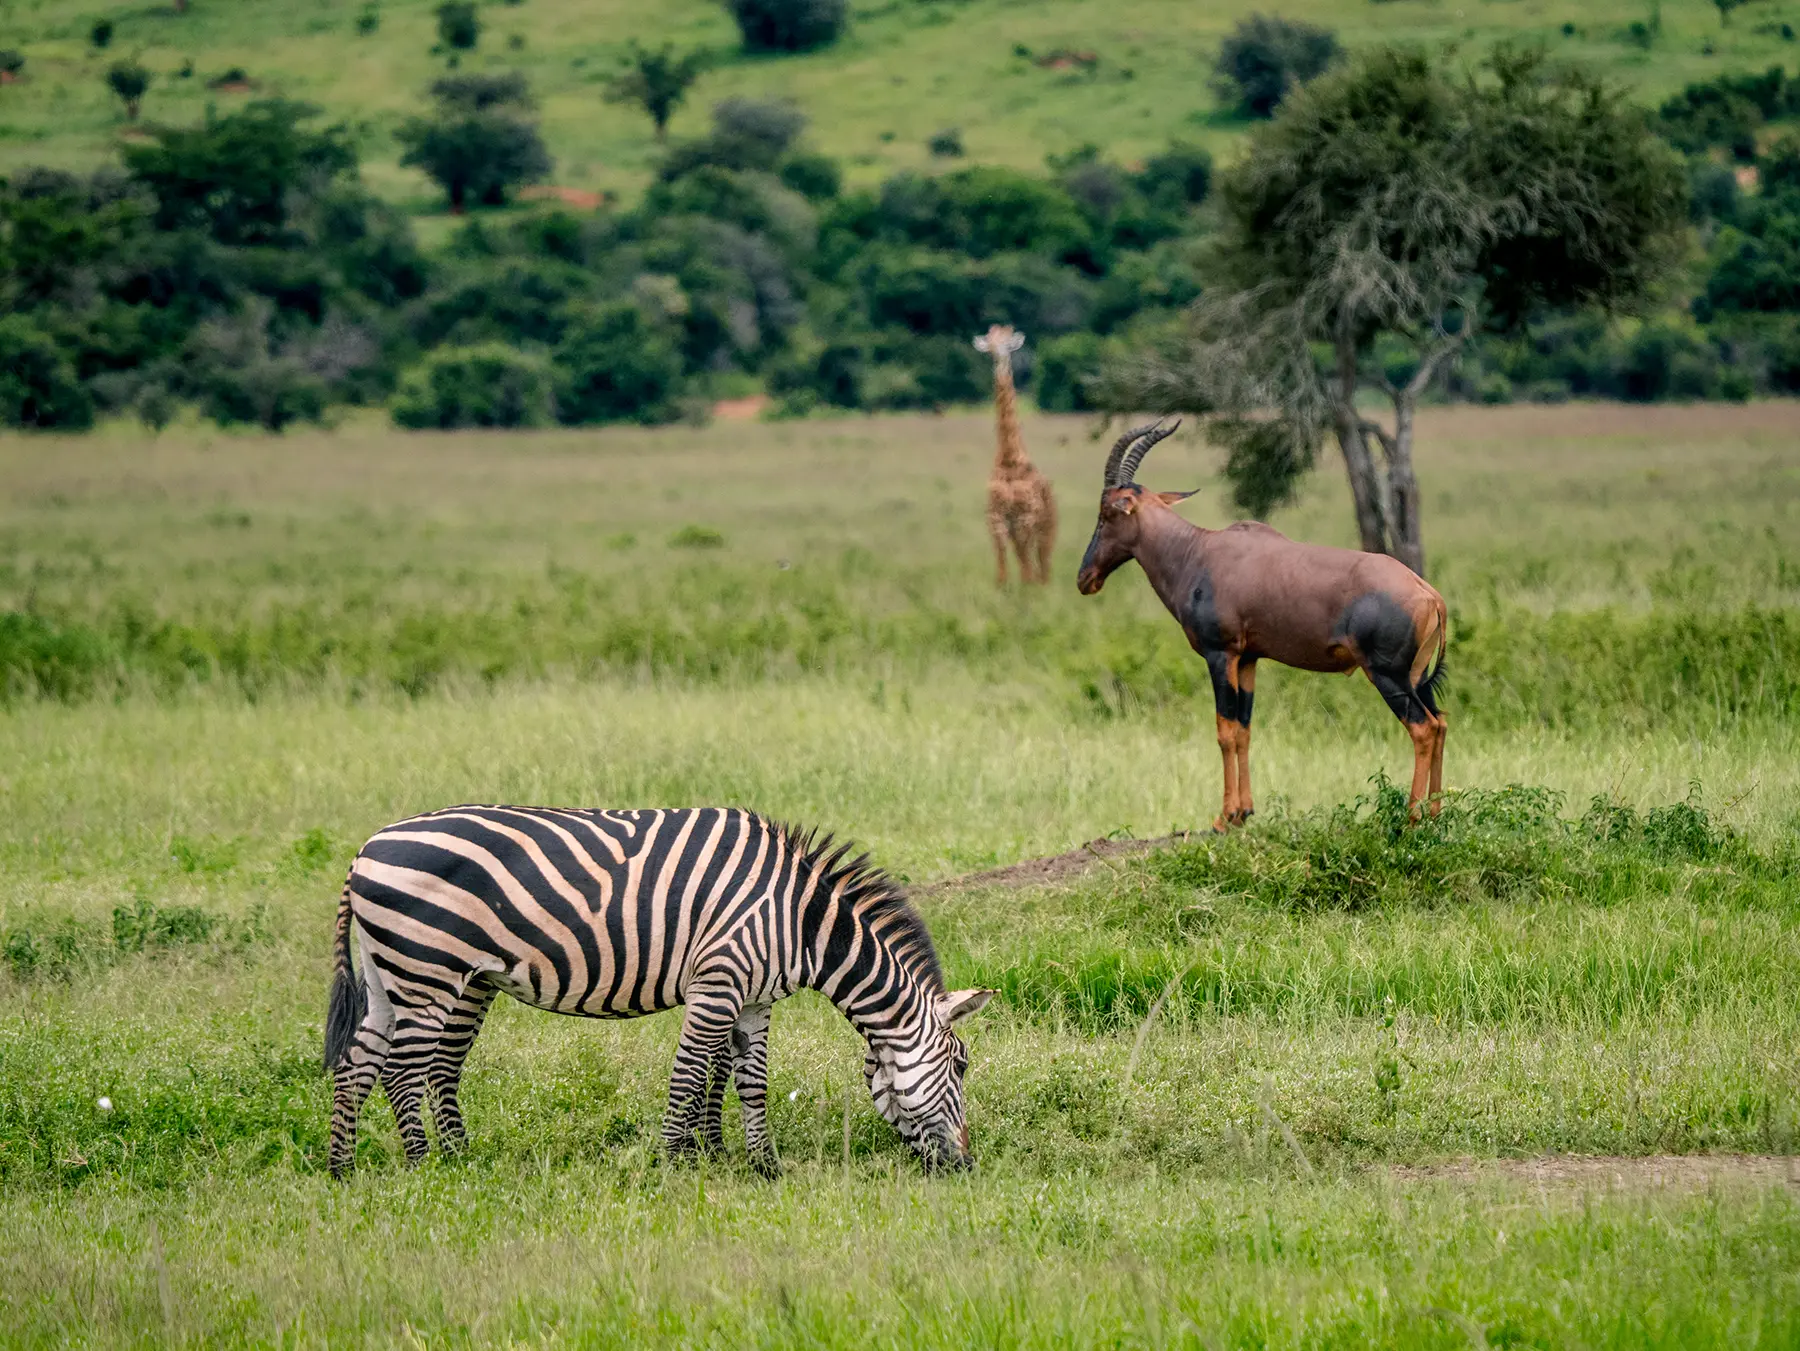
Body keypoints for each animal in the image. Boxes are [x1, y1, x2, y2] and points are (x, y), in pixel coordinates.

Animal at [323, 804, 994, 1178]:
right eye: (961, 1067)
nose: (965, 1165)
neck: (800, 922)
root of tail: (365, 850)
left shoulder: (753, 997)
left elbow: (747, 1081)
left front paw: (760, 1166)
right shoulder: (719, 979)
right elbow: (692, 1072)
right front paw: (677, 1164)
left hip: (391, 975)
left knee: (359, 1064)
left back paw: (346, 1168)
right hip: (428, 972)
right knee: (403, 1071)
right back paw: (426, 1169)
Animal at [974, 324, 1057, 586]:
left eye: (1008, 343)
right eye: (989, 343)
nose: (998, 359)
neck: (1009, 457)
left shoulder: (1025, 519)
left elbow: (1025, 569)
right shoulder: (996, 519)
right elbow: (1002, 571)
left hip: (1048, 526)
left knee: (1042, 564)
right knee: (1031, 565)